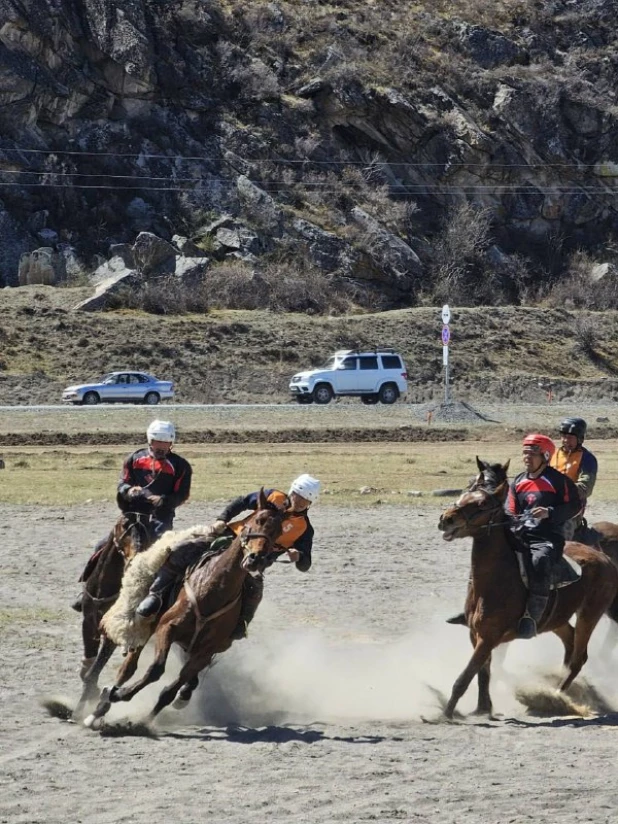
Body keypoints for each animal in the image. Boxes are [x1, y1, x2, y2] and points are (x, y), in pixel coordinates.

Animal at [83, 490, 286, 728]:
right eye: (257, 521)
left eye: (278, 531)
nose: (256, 559)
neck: (213, 589)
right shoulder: (167, 628)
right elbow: (155, 670)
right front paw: (119, 694)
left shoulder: (205, 652)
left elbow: (170, 690)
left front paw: (145, 721)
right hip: (145, 626)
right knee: (127, 668)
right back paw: (98, 709)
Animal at [436, 464, 616, 720]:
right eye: (467, 489)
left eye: (482, 503)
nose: (446, 519)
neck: (496, 579)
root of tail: (605, 559)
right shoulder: (475, 635)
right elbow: (483, 673)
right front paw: (483, 708)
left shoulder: (489, 637)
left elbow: (466, 676)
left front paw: (446, 713)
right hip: (557, 619)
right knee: (570, 644)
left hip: (590, 615)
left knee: (578, 658)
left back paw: (557, 696)